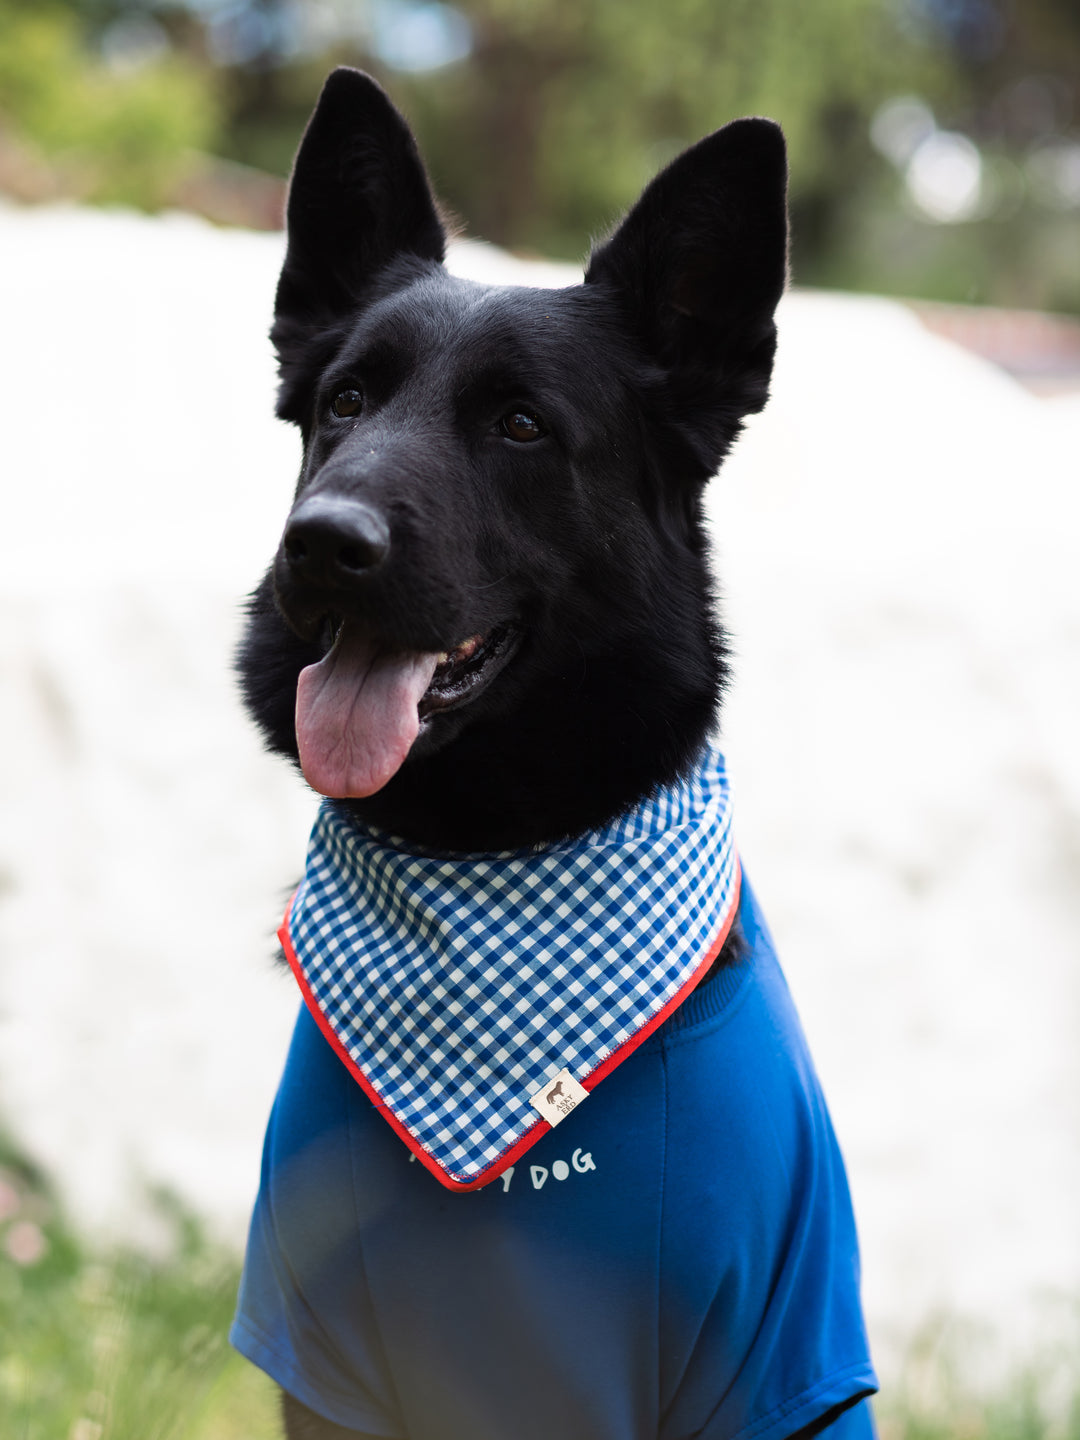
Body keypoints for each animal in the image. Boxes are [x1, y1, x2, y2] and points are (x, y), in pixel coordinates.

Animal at [233, 67, 875, 1440]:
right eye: (344, 403)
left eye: (521, 426)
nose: (322, 542)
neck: (495, 858)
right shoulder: (325, 1364)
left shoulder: (774, 1361)